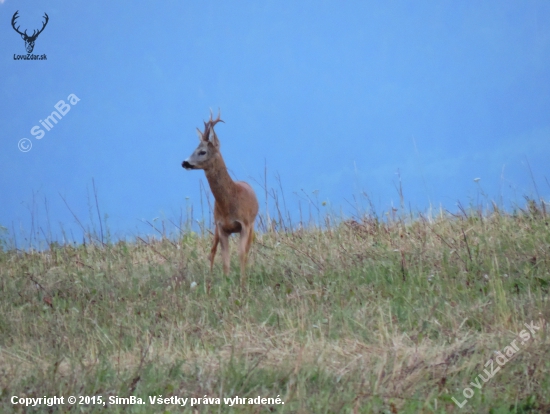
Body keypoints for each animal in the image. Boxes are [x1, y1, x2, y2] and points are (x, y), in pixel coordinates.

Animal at [181, 111, 258, 284]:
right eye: (194, 148)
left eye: (202, 151)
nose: (184, 162)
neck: (229, 202)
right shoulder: (221, 226)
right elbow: (225, 259)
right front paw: (227, 281)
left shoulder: (244, 225)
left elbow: (241, 254)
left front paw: (242, 281)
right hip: (216, 228)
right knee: (212, 250)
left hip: (251, 225)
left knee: (247, 250)